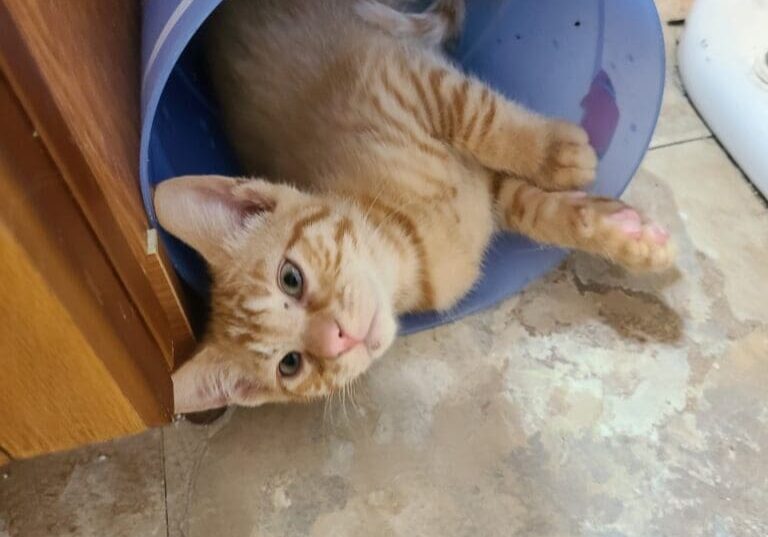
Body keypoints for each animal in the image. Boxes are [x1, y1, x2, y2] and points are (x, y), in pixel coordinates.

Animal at [156, 0, 672, 410]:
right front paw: (626, 230)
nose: (337, 339)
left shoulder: (401, 79)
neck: (411, 246)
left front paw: (555, 154)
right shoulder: (490, 191)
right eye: (291, 364)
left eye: (291, 278)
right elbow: (537, 210)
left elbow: (481, 120)